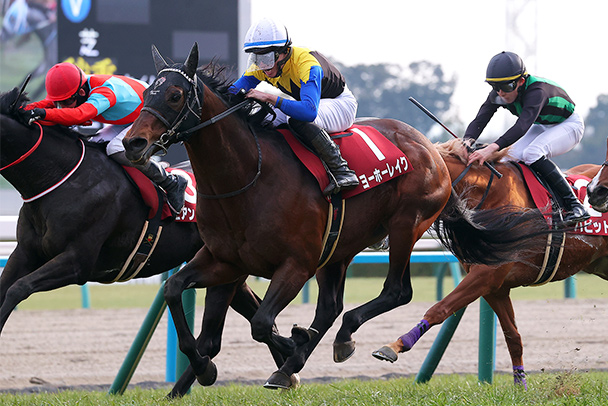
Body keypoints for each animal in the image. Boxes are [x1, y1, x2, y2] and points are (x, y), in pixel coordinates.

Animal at [0, 87, 289, 386]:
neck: (60, 178)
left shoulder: (77, 261)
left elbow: (18, 288)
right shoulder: (24, 253)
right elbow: (6, 291)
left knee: (219, 335)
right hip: (225, 267)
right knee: (256, 313)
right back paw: (286, 374)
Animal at [122, 42, 553, 396]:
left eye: (175, 95)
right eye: (146, 94)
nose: (132, 142)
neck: (246, 177)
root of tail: (432, 148)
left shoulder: (295, 264)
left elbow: (262, 323)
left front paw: (291, 352)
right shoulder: (225, 261)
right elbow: (175, 291)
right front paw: (207, 369)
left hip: (405, 225)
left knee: (396, 292)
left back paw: (340, 340)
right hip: (340, 246)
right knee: (330, 306)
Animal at [373, 139, 608, 388]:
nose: (378, 237)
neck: (490, 195)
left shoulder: (486, 275)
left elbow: (440, 309)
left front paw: (395, 346)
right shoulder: (495, 287)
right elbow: (512, 336)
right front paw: (520, 385)